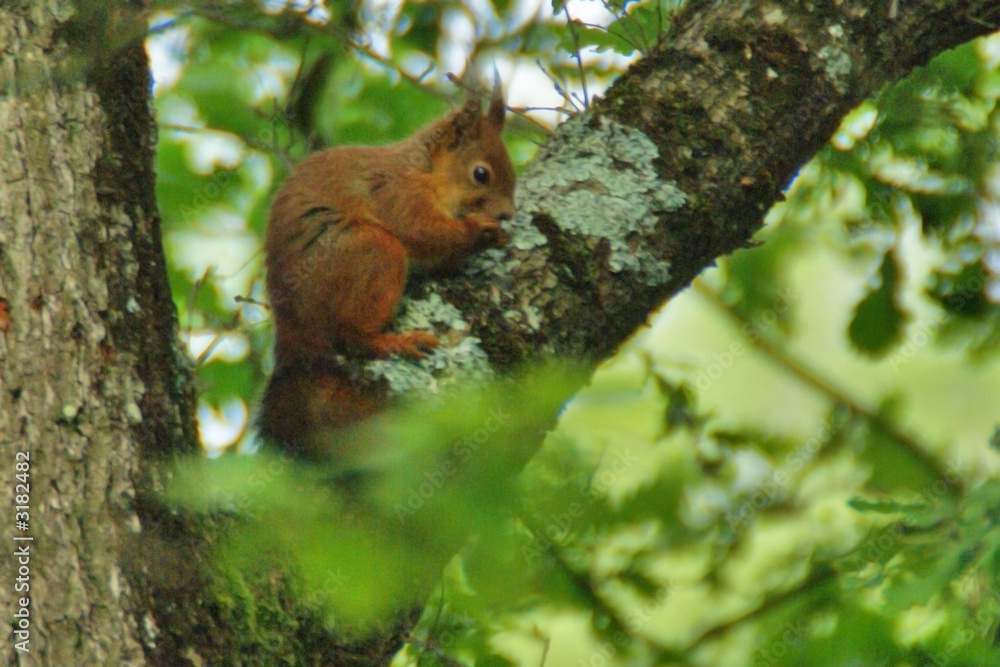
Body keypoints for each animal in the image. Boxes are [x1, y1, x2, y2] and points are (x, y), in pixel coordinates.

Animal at [258, 81, 516, 460]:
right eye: (480, 174)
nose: (508, 214)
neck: (426, 172)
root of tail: (293, 334)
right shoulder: (397, 193)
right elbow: (422, 231)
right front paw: (478, 230)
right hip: (373, 253)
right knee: (353, 335)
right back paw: (396, 342)